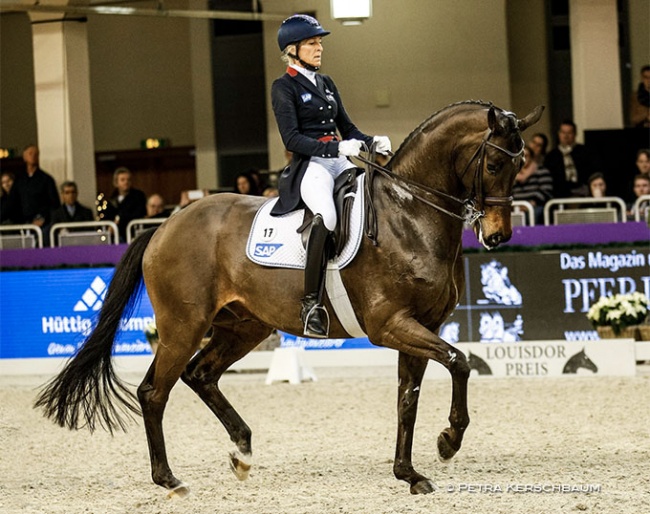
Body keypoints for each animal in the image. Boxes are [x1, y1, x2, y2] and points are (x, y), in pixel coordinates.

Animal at [34, 98, 540, 494]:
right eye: (494, 164)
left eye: (520, 165)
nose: (498, 237)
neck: (409, 213)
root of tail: (164, 225)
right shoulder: (390, 325)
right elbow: (460, 362)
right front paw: (448, 441)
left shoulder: (423, 325)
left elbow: (408, 398)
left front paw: (409, 473)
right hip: (183, 325)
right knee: (154, 391)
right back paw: (170, 479)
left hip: (244, 325)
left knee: (200, 375)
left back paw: (242, 451)